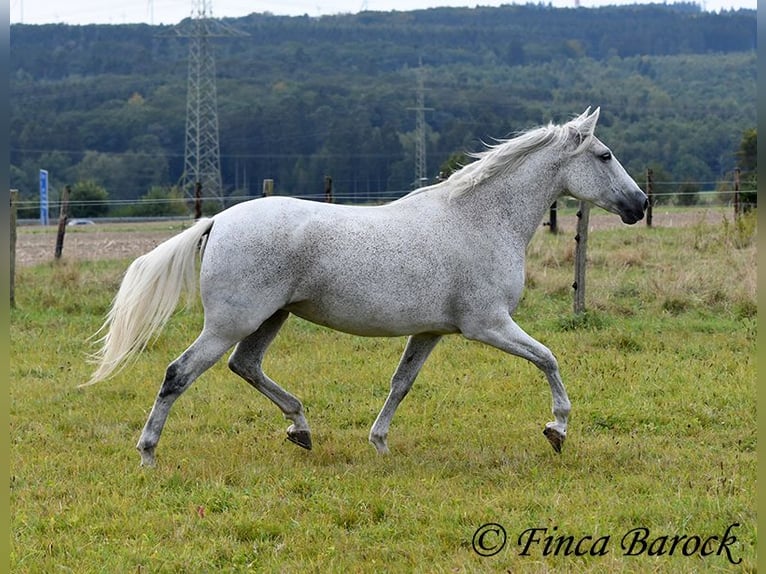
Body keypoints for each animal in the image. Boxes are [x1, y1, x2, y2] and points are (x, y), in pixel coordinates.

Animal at [87, 109, 648, 468]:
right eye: (604, 155)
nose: (640, 205)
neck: (481, 220)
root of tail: (218, 221)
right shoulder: (488, 324)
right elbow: (549, 358)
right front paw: (557, 431)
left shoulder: (431, 332)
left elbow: (401, 384)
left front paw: (379, 444)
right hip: (233, 322)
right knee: (179, 373)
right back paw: (148, 454)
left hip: (270, 318)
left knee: (245, 367)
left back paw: (301, 429)